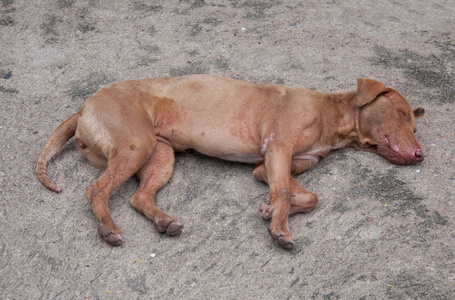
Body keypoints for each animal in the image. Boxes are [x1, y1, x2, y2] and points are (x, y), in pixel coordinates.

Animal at [34, 74, 424, 248]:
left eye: (414, 122)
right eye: (403, 114)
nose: (421, 154)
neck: (330, 116)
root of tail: (84, 106)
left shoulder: (270, 165)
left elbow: (307, 196)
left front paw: (270, 210)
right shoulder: (278, 148)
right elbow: (285, 192)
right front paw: (280, 227)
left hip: (161, 157)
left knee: (138, 196)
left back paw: (164, 221)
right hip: (135, 146)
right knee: (96, 189)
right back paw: (107, 228)